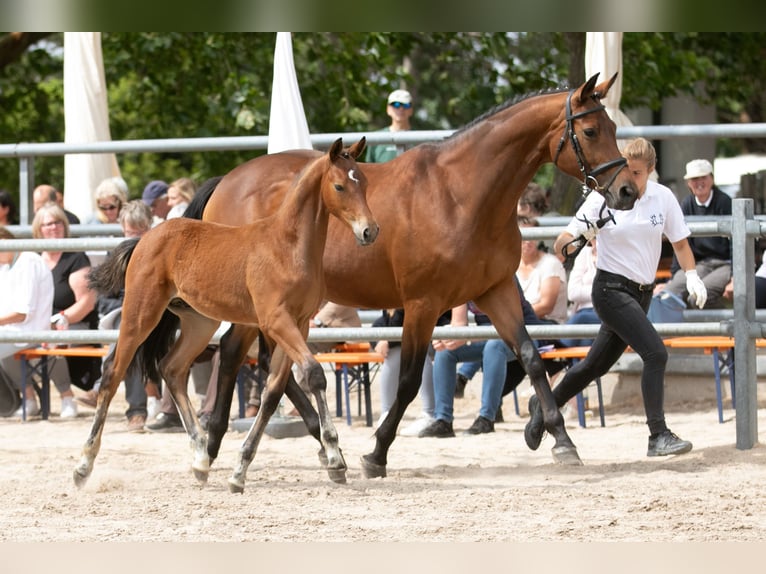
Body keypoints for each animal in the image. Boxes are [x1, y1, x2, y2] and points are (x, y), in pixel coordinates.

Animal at [73, 137, 380, 492]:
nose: (370, 231)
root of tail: (145, 237)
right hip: (141, 313)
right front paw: (332, 454)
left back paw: (201, 460)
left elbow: (273, 391)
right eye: (339, 185)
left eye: (365, 182)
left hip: (199, 322)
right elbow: (314, 374)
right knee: (112, 372)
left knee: (172, 369)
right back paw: (83, 466)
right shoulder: (276, 320)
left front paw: (240, 470)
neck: (288, 246)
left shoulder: (299, 324)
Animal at [195, 72, 640, 480]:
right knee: (237, 354)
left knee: (266, 363)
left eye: (614, 128)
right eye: (590, 130)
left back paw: (306, 446)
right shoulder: (422, 305)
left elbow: (531, 357)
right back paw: (214, 445)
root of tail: (228, 181)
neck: (461, 194)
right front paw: (376, 454)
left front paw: (559, 439)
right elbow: (408, 381)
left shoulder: (496, 292)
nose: (627, 192)